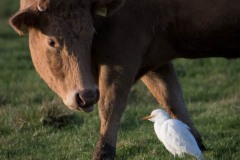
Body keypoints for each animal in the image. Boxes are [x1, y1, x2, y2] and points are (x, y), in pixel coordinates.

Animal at [9, 0, 240, 159]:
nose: (87, 95)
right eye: (51, 41)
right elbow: (172, 99)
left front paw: (102, 153)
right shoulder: (156, 64)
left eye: (91, 33)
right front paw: (197, 143)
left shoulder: (122, 54)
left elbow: (111, 105)